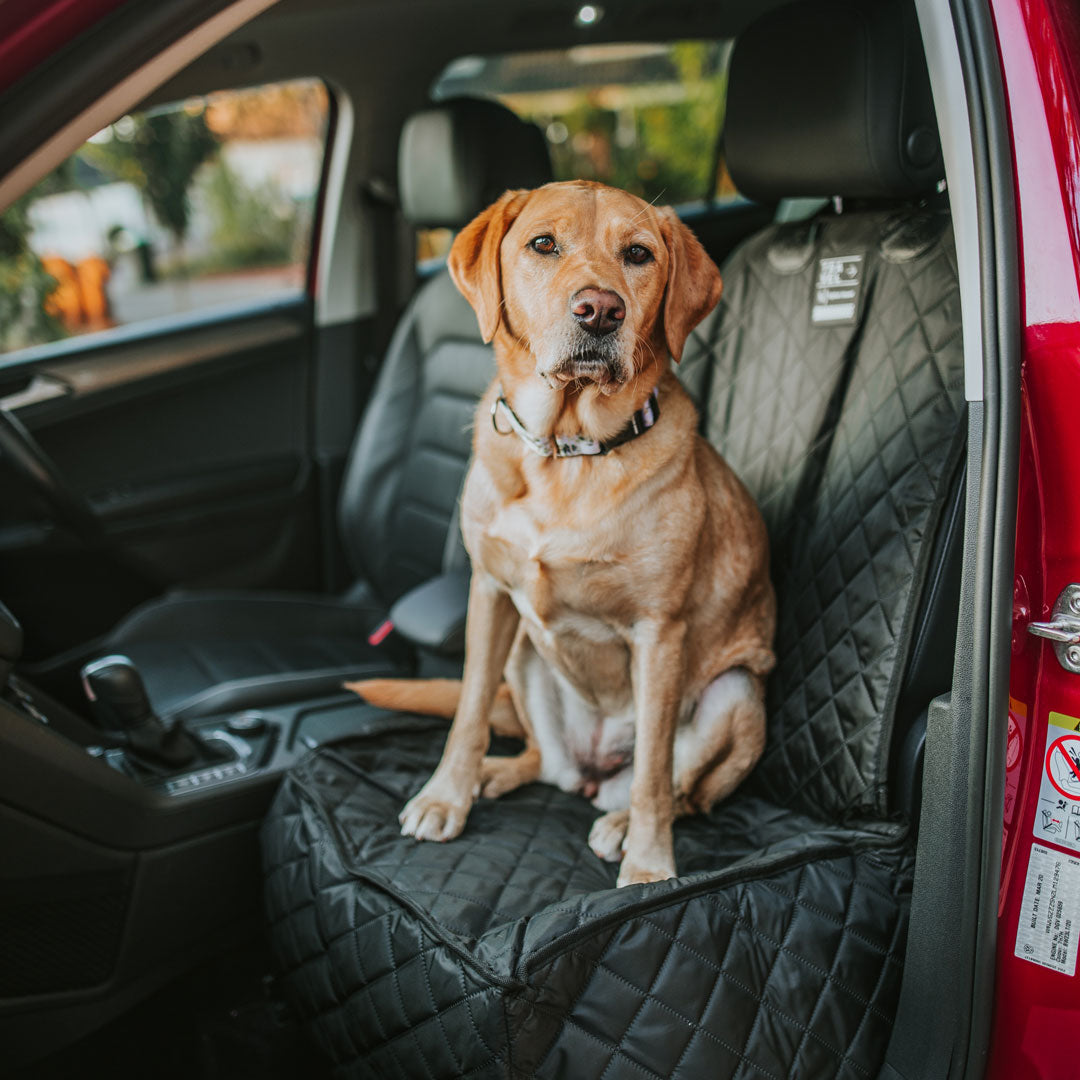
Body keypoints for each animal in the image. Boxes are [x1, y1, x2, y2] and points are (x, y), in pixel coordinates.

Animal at [349, 179, 773, 885]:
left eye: (638, 254)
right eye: (543, 244)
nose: (600, 310)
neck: (567, 451)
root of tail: (593, 771)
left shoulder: (660, 633)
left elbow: (655, 769)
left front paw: (650, 864)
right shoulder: (491, 593)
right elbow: (469, 711)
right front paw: (446, 795)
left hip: (737, 693)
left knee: (678, 789)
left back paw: (623, 825)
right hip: (526, 648)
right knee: (544, 761)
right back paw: (499, 775)